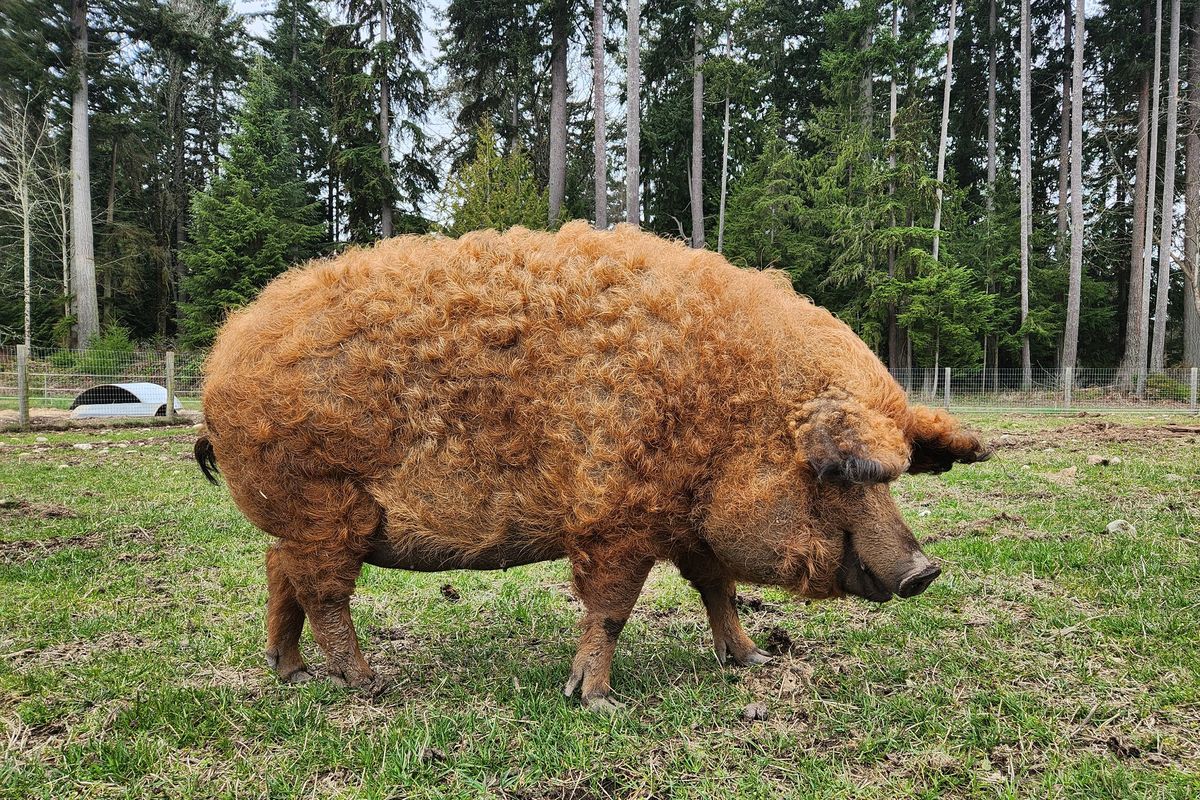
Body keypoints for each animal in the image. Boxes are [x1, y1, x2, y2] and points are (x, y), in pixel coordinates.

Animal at [196, 222, 990, 710]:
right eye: (837, 476)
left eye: (893, 478)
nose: (924, 571)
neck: (721, 411)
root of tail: (220, 363)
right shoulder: (614, 518)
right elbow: (610, 609)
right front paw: (598, 699)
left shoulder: (690, 527)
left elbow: (720, 592)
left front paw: (753, 662)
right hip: (325, 505)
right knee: (323, 592)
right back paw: (368, 684)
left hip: (308, 519)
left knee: (278, 571)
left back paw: (292, 673)